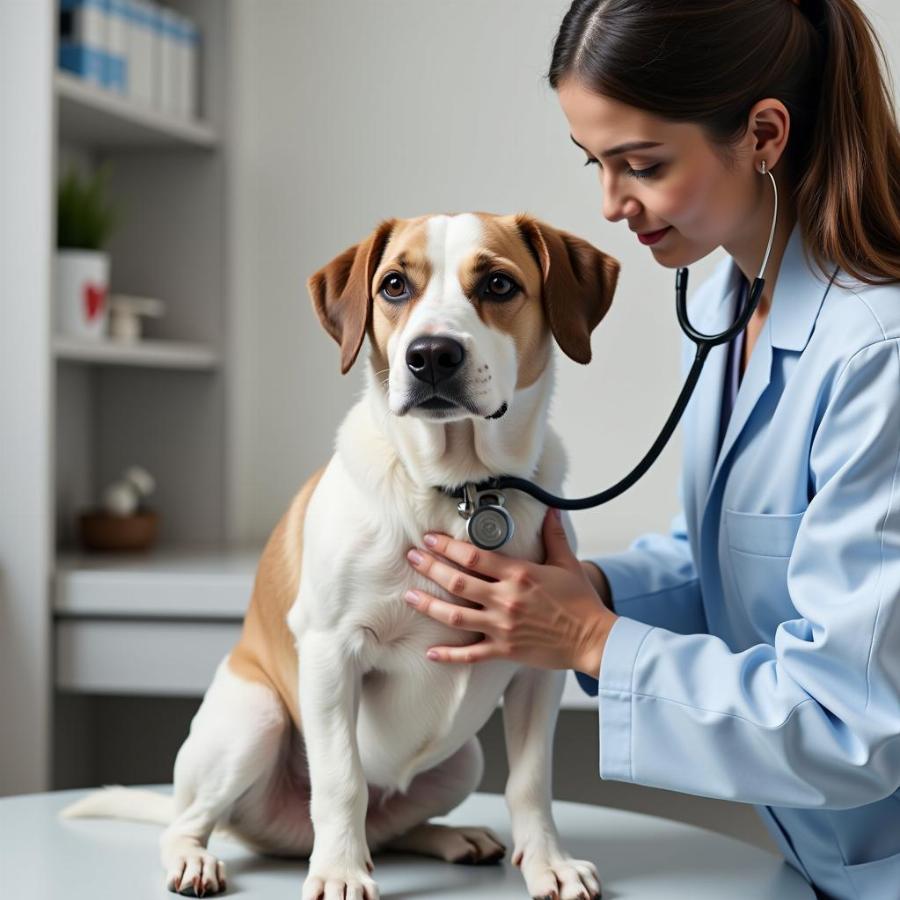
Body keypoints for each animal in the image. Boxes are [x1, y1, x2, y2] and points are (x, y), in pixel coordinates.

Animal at [61, 213, 620, 900]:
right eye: (394, 285)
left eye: (497, 283)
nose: (430, 355)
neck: (457, 491)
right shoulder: (331, 652)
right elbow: (340, 781)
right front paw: (338, 872)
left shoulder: (540, 666)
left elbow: (531, 783)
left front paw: (548, 863)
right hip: (256, 719)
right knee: (193, 821)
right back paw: (199, 859)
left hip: (463, 759)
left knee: (393, 825)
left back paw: (452, 837)